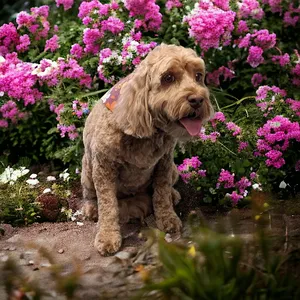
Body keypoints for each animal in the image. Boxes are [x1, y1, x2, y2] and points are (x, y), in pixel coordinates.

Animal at [81, 44, 212, 255]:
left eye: (198, 76)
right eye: (168, 77)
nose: (197, 99)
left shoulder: (164, 162)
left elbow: (161, 193)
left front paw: (167, 218)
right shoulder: (103, 168)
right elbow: (108, 205)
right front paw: (108, 237)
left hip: (174, 170)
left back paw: (173, 194)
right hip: (87, 170)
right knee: (92, 196)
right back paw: (92, 209)